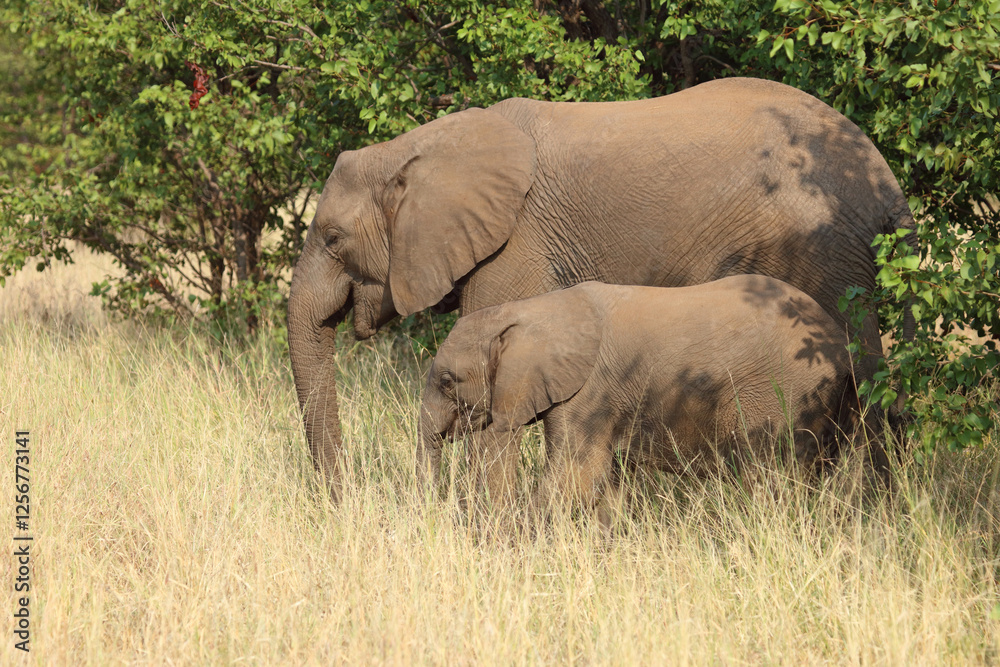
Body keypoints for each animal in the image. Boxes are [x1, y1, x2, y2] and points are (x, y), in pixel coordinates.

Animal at [418, 276, 875, 517]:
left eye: (447, 381)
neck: (529, 310)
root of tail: (842, 345)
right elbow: (607, 486)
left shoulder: (591, 394)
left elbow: (572, 481)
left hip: (786, 395)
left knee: (773, 481)